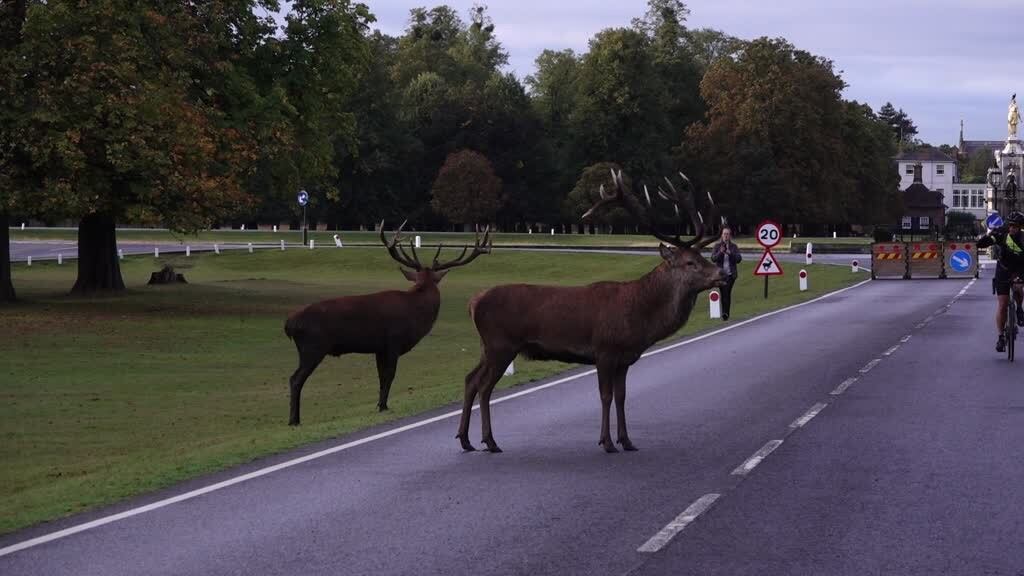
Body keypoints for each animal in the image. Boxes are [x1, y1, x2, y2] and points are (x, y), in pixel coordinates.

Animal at [284, 222, 491, 426]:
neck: (416, 312)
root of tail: (290, 324)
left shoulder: (379, 348)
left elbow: (381, 376)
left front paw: (379, 404)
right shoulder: (393, 341)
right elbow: (390, 375)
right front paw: (383, 406)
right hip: (313, 346)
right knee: (295, 379)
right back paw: (294, 420)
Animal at [456, 170, 726, 453]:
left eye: (704, 256)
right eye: (690, 262)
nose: (723, 273)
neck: (640, 317)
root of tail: (473, 303)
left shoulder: (624, 358)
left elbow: (621, 397)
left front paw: (627, 440)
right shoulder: (604, 350)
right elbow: (606, 396)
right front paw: (606, 442)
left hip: (488, 346)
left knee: (470, 379)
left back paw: (466, 439)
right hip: (501, 344)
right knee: (484, 386)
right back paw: (490, 441)